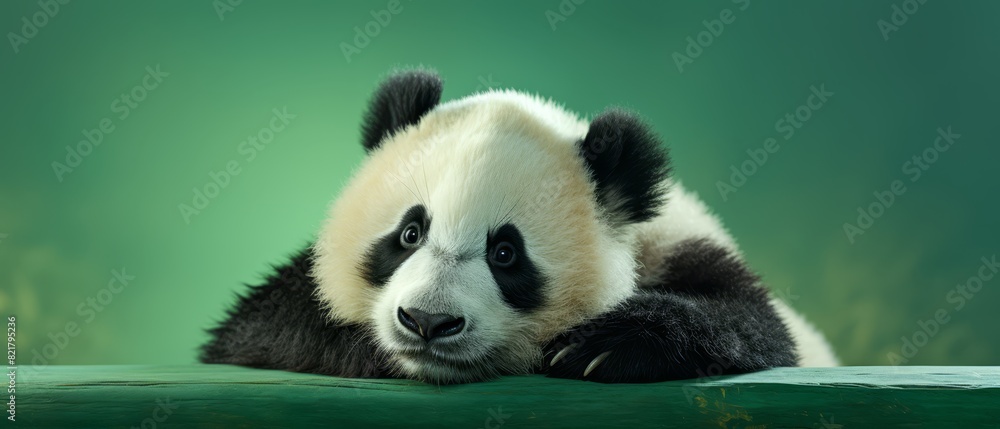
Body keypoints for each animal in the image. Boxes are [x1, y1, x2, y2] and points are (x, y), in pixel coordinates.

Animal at [200, 69, 838, 384]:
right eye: (409, 234)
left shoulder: (683, 248)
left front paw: (611, 344)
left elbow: (755, 329)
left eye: (505, 254)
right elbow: (255, 329)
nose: (427, 322)